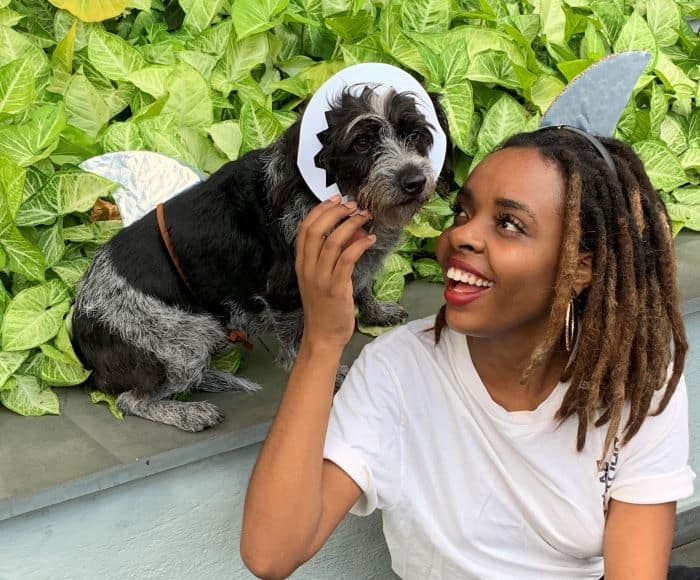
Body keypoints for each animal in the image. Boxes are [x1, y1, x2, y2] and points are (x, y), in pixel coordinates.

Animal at [72, 86, 454, 430]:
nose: (414, 181)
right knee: (130, 399)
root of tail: (78, 331)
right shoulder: (284, 291)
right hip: (183, 343)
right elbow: (298, 344)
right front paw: (318, 378)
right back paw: (188, 412)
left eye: (415, 134)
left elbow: (361, 285)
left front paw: (376, 310)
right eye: (362, 143)